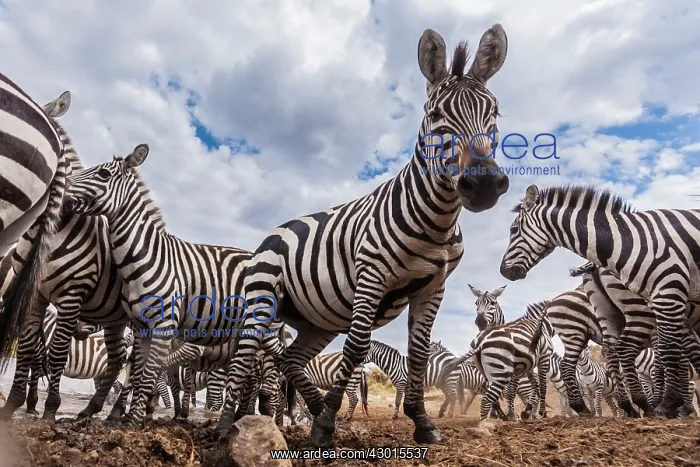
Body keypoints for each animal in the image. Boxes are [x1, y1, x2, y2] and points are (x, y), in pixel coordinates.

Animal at [214, 25, 511, 447]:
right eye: (435, 115)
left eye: (494, 112)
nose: (483, 185)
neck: (435, 222)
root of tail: (275, 231)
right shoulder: (372, 275)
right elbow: (356, 348)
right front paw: (323, 426)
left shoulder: (433, 287)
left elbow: (418, 353)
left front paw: (422, 423)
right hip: (261, 301)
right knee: (242, 361)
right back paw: (226, 429)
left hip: (315, 321)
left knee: (290, 359)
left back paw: (317, 405)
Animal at [500, 184, 700, 418]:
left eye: (514, 230)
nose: (503, 272)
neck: (626, 239)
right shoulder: (668, 295)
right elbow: (673, 353)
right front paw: (672, 404)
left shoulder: (670, 294)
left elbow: (677, 351)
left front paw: (673, 404)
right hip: (590, 326)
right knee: (586, 361)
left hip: (607, 316)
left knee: (611, 353)